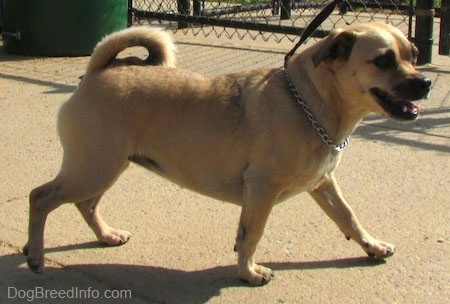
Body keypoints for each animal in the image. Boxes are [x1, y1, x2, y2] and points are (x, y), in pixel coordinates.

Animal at [22, 23, 430, 284]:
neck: (308, 101)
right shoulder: (262, 190)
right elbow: (251, 235)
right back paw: (37, 256)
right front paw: (248, 273)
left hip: (105, 167)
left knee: (86, 204)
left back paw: (106, 235)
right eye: (383, 61)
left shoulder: (323, 184)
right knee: (41, 198)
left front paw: (371, 246)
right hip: (93, 168)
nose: (425, 82)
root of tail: (98, 70)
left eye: (413, 55)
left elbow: (348, 217)